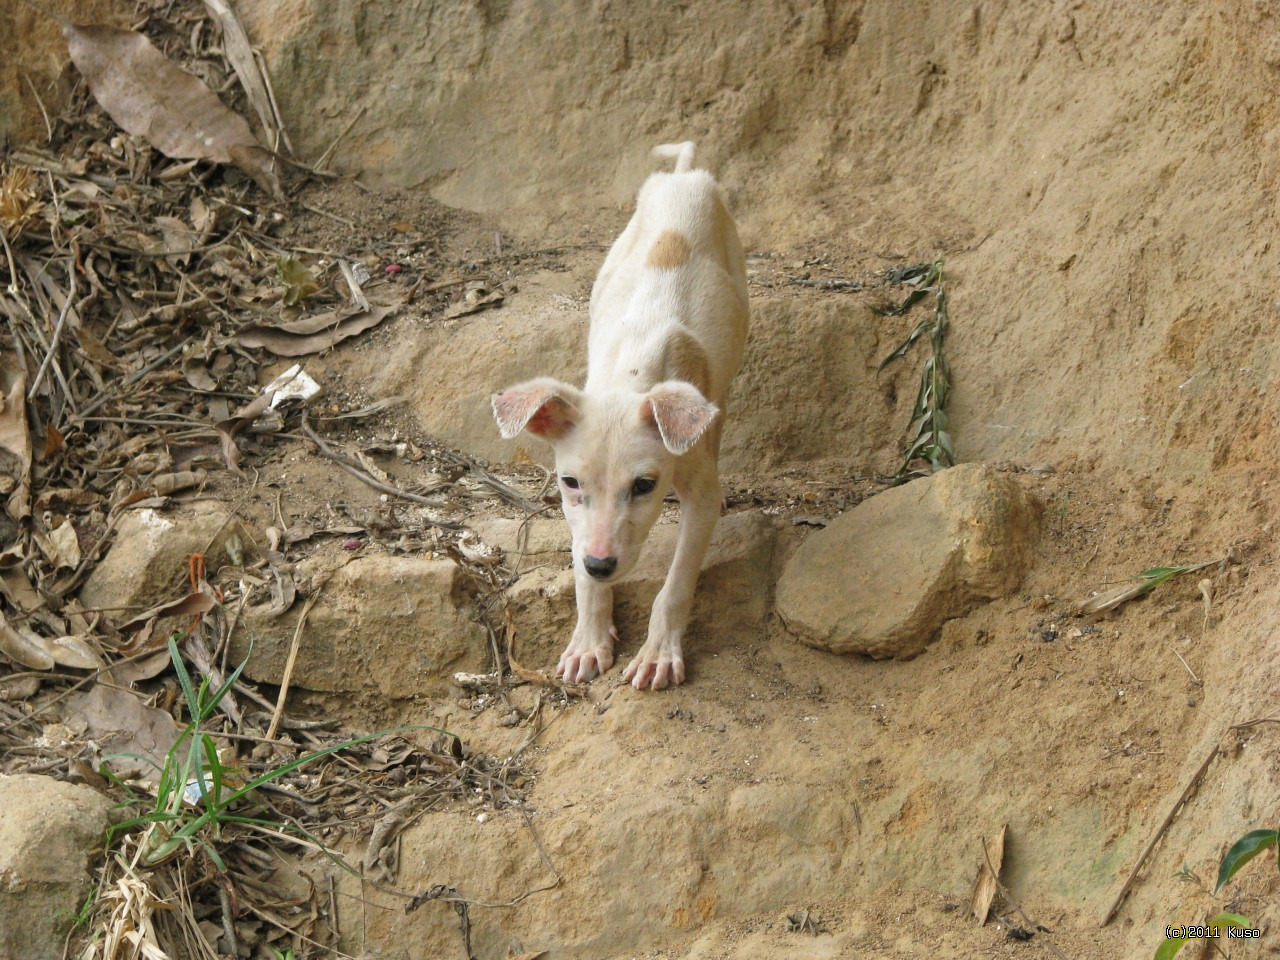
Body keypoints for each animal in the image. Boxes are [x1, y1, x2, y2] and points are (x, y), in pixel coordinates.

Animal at [491, 142, 747, 691]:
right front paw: (589, 639)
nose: (601, 564)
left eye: (645, 486)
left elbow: (676, 585)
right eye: (569, 482)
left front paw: (657, 653)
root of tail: (683, 176)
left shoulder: (697, 493)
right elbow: (580, 571)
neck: (633, 373)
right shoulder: (575, 511)